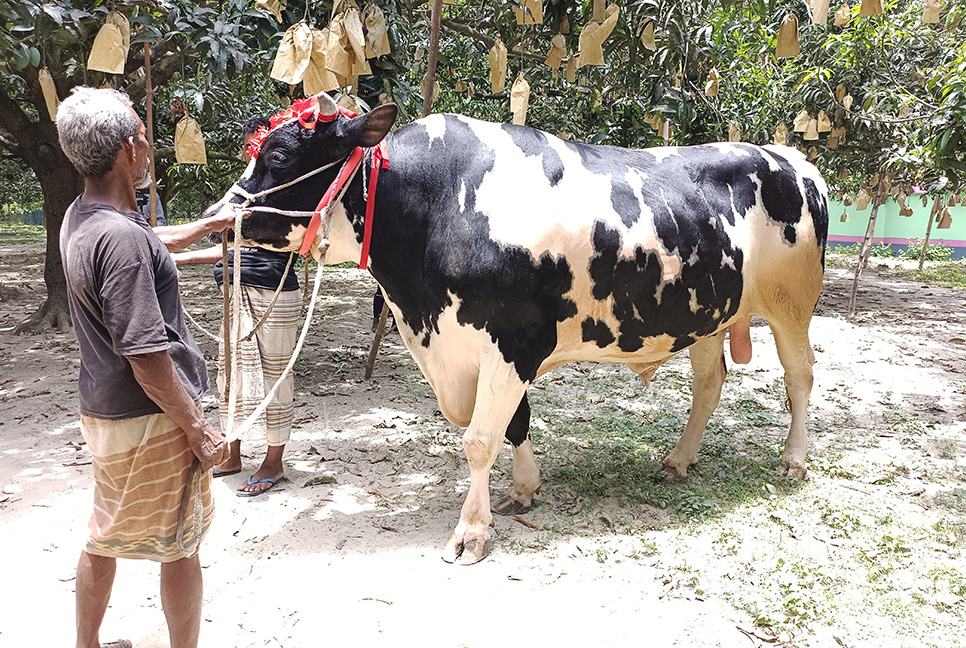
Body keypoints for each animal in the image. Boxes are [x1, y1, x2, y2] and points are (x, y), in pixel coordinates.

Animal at [210, 90, 832, 560]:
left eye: (281, 155)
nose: (220, 215)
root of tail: (792, 159)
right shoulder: (474, 346)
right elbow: (514, 424)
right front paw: (524, 491)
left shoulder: (514, 341)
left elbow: (480, 439)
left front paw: (470, 531)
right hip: (708, 313)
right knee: (709, 382)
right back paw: (679, 460)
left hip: (791, 305)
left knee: (800, 376)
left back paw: (794, 460)